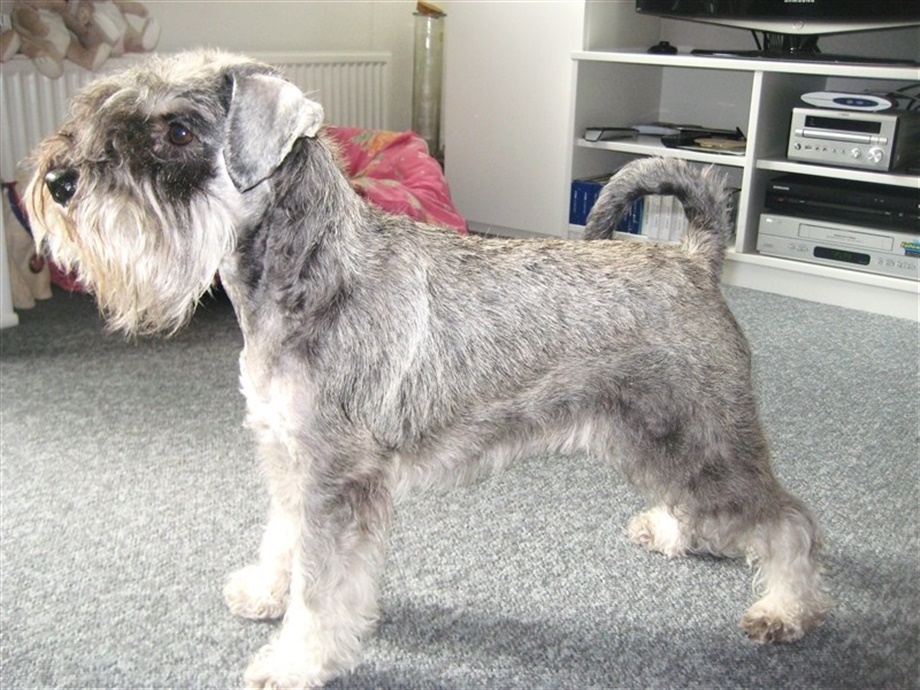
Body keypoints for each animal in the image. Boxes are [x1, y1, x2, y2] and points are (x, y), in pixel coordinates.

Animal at [27, 50, 831, 689]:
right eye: (98, 108)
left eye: (177, 131)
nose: (58, 181)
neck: (312, 275)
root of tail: (694, 258)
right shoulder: (289, 459)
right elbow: (283, 538)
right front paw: (266, 591)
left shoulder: (335, 482)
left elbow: (322, 589)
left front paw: (295, 661)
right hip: (654, 436)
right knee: (700, 504)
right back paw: (671, 533)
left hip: (704, 436)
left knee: (788, 521)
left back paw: (784, 608)